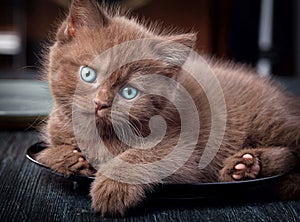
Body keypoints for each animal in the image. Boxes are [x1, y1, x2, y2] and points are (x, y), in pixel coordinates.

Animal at [37, 0, 300, 216]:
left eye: (129, 92)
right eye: (88, 74)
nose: (100, 103)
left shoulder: (185, 150)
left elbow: (144, 155)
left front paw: (113, 187)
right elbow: (46, 152)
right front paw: (69, 158)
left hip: (269, 120)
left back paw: (247, 165)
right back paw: (246, 165)